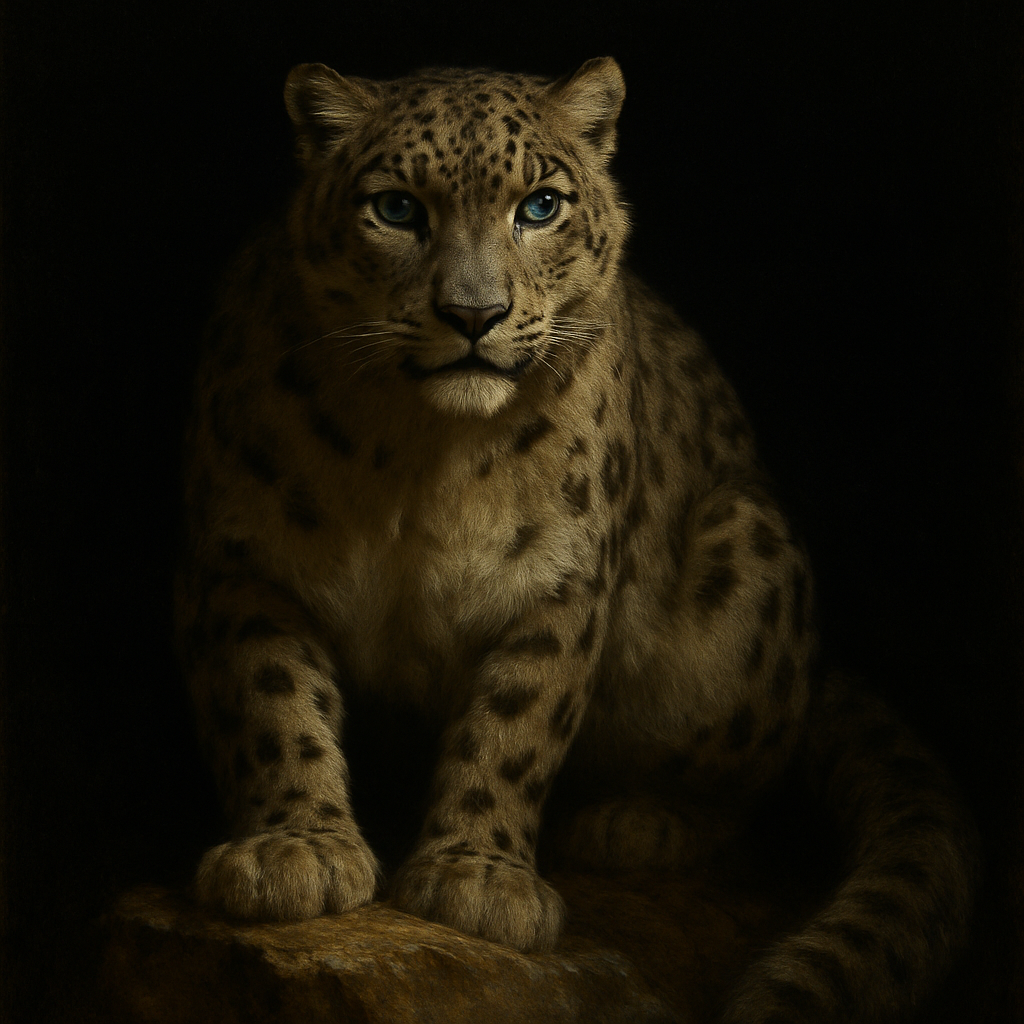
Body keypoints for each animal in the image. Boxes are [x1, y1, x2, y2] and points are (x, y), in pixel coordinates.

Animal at [176, 56, 978, 1021]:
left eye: (541, 205)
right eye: (397, 208)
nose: (473, 314)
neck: (419, 457)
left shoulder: (557, 579)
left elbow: (515, 726)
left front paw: (477, 879)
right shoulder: (248, 563)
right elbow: (272, 703)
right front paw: (293, 851)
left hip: (750, 561)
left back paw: (637, 824)